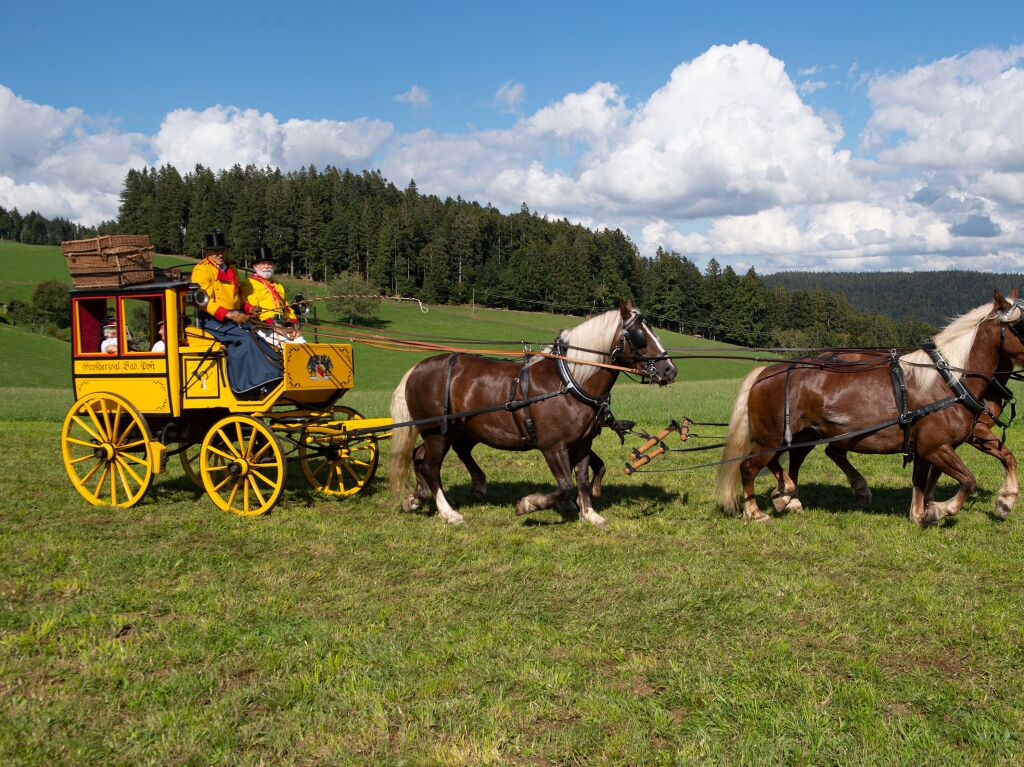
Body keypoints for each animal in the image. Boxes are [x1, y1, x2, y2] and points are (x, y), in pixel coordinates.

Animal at [387, 303, 675, 524]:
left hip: (455, 431)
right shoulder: (553, 447)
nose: (670, 370)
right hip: (438, 432)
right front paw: (528, 504)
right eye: (639, 336)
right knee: (431, 466)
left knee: (422, 457)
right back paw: (448, 512)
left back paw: (419, 497)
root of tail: (417, 368)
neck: (568, 382)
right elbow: (565, 485)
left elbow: (582, 478)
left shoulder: (582, 443)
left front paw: (589, 513)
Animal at [716, 290, 1024, 524]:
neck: (948, 380)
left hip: (803, 435)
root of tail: (767, 371)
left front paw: (923, 511)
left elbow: (929, 477)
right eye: (1020, 325)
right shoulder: (937, 446)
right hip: (772, 438)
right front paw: (941, 510)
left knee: (793, 459)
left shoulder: (937, 445)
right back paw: (756, 511)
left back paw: (790, 497)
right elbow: (967, 480)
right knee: (749, 466)